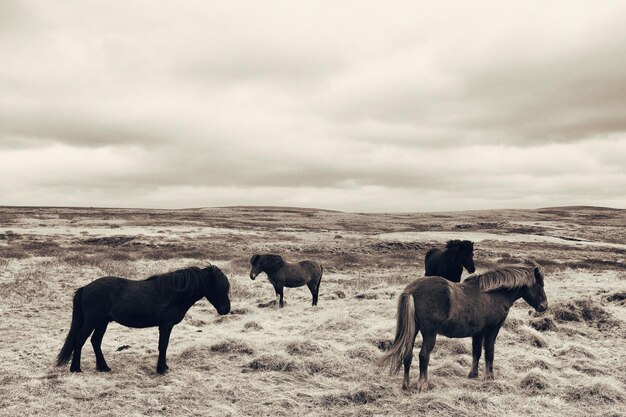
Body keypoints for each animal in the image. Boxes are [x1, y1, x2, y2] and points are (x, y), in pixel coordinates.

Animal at [56, 264, 229, 372]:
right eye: (220, 287)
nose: (226, 309)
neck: (174, 294)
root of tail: (86, 288)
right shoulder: (166, 325)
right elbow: (163, 345)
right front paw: (161, 369)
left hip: (102, 322)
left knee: (95, 341)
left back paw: (103, 367)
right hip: (92, 321)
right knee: (80, 340)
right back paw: (76, 368)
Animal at [376, 264, 544, 390]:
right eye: (540, 285)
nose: (544, 306)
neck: (493, 294)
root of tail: (412, 290)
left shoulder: (478, 333)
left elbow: (476, 352)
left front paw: (473, 374)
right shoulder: (492, 330)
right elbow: (489, 353)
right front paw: (489, 377)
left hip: (414, 331)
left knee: (408, 354)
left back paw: (406, 384)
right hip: (429, 333)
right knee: (423, 355)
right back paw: (422, 384)